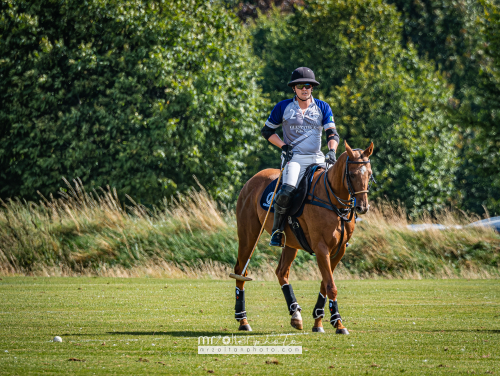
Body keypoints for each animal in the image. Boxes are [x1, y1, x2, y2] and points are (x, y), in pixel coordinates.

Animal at [232, 140, 374, 332]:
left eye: (370, 174)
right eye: (351, 174)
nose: (362, 207)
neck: (334, 201)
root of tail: (252, 179)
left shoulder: (339, 250)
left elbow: (325, 283)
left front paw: (319, 321)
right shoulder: (321, 248)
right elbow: (331, 285)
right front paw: (338, 323)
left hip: (291, 242)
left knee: (281, 272)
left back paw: (295, 314)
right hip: (249, 234)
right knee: (240, 271)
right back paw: (243, 320)